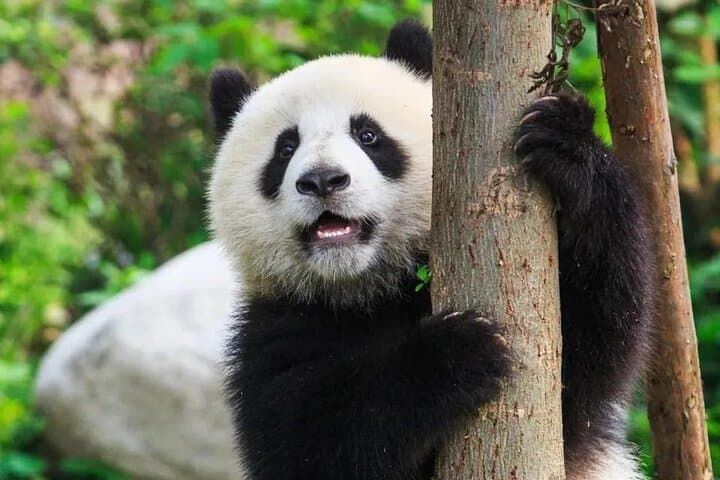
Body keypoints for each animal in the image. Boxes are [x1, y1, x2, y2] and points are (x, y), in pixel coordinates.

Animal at [208, 19, 651, 480]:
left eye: (368, 135)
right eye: (285, 148)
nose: (323, 180)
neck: (367, 290)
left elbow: (590, 347)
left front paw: (564, 143)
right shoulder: (274, 331)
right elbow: (316, 444)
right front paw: (457, 352)